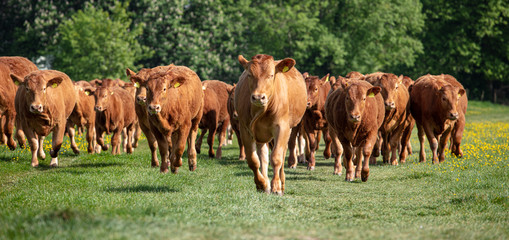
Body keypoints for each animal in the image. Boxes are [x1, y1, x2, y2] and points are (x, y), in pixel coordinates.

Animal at [234, 54, 306, 195]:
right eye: (249, 74)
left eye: (271, 75)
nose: (258, 97)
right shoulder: (245, 129)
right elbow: (253, 160)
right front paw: (261, 184)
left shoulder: (282, 128)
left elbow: (276, 157)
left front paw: (276, 186)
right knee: (263, 155)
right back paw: (265, 181)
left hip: (288, 129)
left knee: (282, 154)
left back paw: (281, 182)